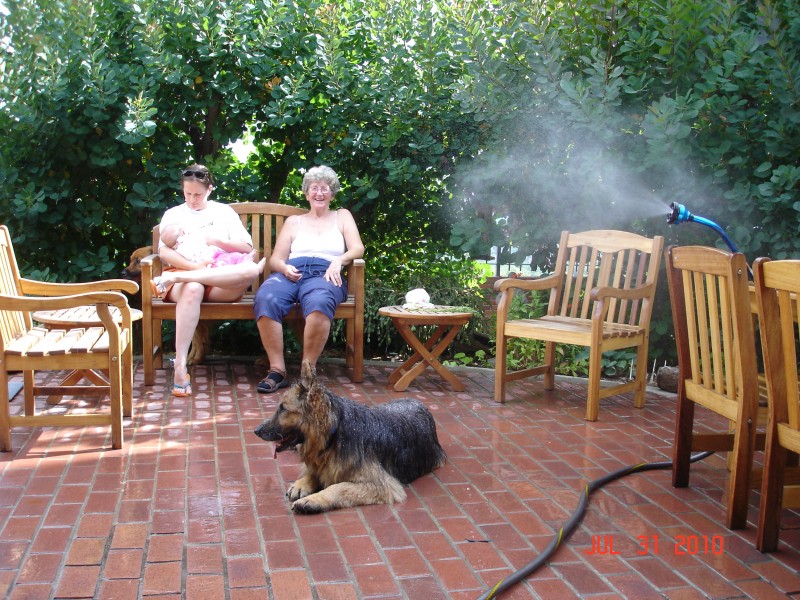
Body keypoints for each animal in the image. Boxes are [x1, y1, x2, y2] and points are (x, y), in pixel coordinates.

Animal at [255, 358, 446, 512]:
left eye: (282, 408)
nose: (256, 431)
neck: (333, 435)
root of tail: (418, 402)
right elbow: (314, 472)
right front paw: (302, 483)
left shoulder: (383, 485)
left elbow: (338, 487)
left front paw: (313, 500)